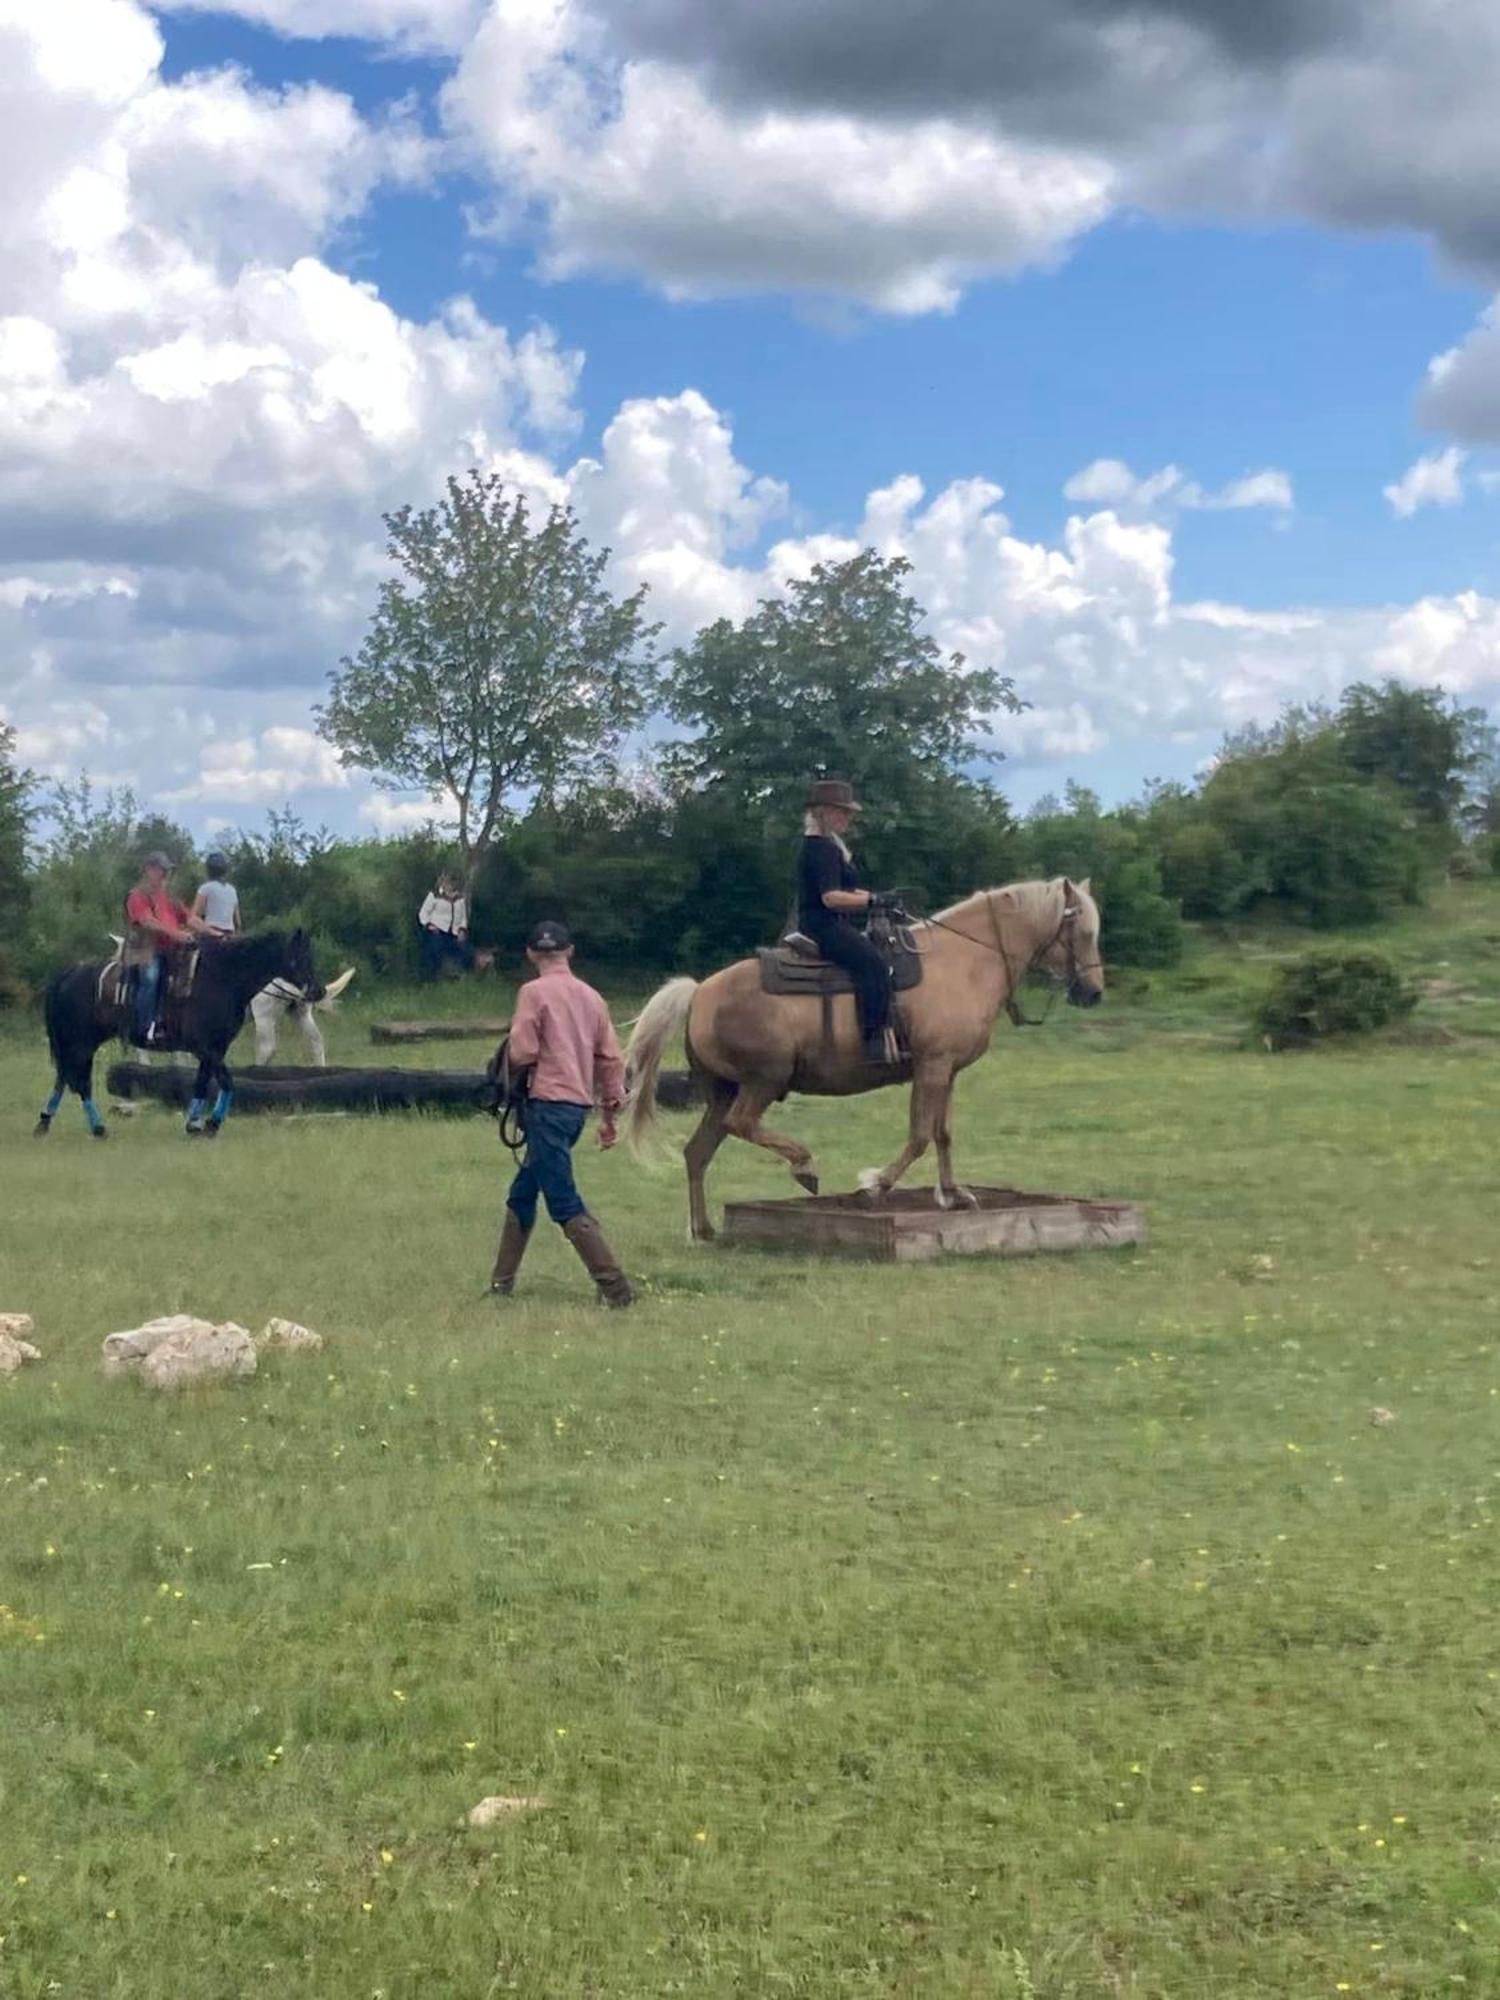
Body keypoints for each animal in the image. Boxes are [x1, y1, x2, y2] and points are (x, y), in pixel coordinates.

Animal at [36, 924, 322, 1144]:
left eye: (311, 956)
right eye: (300, 958)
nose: (317, 991)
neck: (222, 979)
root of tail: (68, 974)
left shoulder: (213, 1050)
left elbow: (203, 1083)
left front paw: (196, 1125)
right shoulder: (207, 1048)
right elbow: (226, 1082)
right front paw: (210, 1124)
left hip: (78, 1044)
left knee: (64, 1078)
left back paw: (45, 1123)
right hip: (81, 1043)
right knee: (80, 1082)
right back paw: (97, 1129)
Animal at [624, 876, 1104, 1232]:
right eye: (1081, 932)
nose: (1093, 993)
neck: (964, 962)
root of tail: (700, 991)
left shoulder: (947, 1071)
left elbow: (943, 1133)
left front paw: (953, 1196)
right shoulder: (931, 1066)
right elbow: (920, 1136)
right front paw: (875, 1186)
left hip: (725, 1089)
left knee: (697, 1152)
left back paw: (703, 1229)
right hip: (763, 1081)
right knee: (739, 1124)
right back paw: (804, 1166)